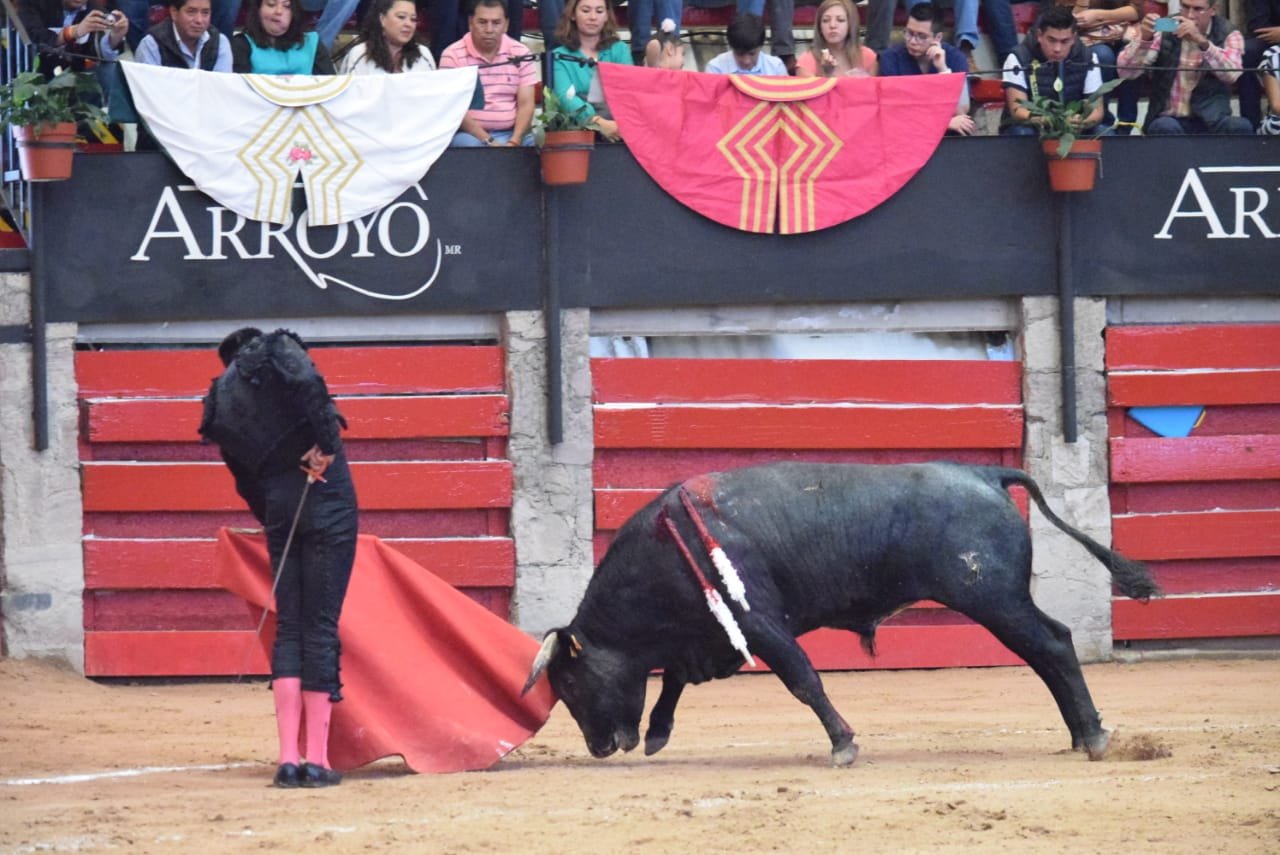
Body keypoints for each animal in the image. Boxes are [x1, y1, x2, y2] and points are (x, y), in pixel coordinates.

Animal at [523, 462, 1161, 767]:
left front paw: (843, 745)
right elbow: (676, 679)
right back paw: (1082, 734)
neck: (665, 547)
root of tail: (981, 473)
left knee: (1051, 646)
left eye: (571, 685)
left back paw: (1093, 736)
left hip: (994, 600)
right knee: (1050, 650)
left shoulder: (760, 624)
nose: (598, 747)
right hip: (1000, 602)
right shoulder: (706, 636)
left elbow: (804, 681)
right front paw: (658, 734)